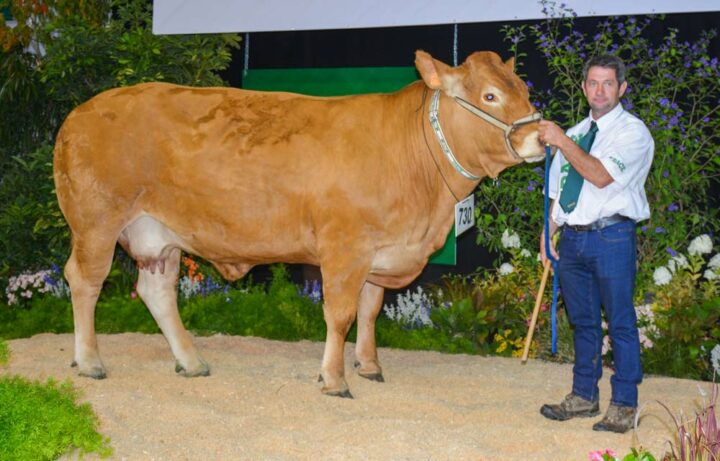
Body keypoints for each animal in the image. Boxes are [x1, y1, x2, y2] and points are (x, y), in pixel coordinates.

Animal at [53, 49, 544, 396]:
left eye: (522, 88)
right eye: (489, 95)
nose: (540, 136)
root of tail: (81, 112)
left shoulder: (380, 251)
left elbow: (370, 309)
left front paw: (369, 365)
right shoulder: (345, 246)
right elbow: (341, 313)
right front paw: (334, 378)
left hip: (158, 235)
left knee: (156, 291)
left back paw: (191, 361)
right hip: (96, 223)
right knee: (84, 281)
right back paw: (90, 361)